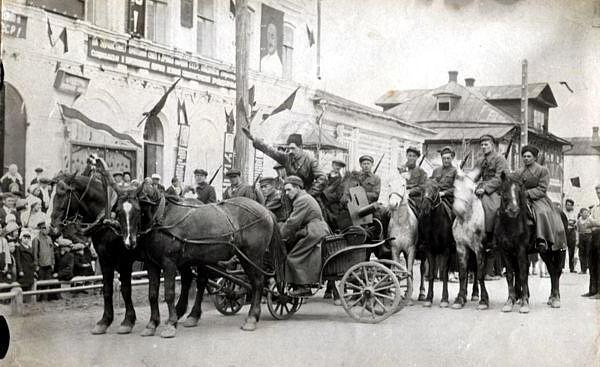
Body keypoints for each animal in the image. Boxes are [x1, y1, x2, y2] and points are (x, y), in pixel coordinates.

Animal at [386, 174, 420, 306]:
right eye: (389, 185)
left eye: (403, 184)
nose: (393, 204)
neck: (401, 224)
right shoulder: (395, 250)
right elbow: (397, 272)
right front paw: (396, 295)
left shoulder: (411, 250)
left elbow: (408, 271)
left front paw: (408, 299)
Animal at [418, 180, 454, 308]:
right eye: (422, 189)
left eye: (435, 189)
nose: (424, 208)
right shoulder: (430, 251)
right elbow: (432, 274)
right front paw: (429, 298)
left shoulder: (446, 251)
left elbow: (444, 273)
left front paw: (444, 299)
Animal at [450, 170, 488, 310]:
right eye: (455, 186)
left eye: (472, 189)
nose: (458, 209)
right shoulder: (461, 248)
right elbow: (462, 273)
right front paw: (460, 299)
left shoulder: (480, 248)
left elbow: (481, 274)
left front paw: (484, 301)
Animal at [494, 172, 564, 314]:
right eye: (504, 191)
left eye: (519, 190)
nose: (513, 210)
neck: (510, 224)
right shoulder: (506, 251)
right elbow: (510, 275)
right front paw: (509, 302)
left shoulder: (521, 250)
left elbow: (522, 274)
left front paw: (524, 303)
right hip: (545, 254)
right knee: (552, 271)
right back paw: (551, 298)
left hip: (558, 251)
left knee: (557, 271)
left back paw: (556, 299)